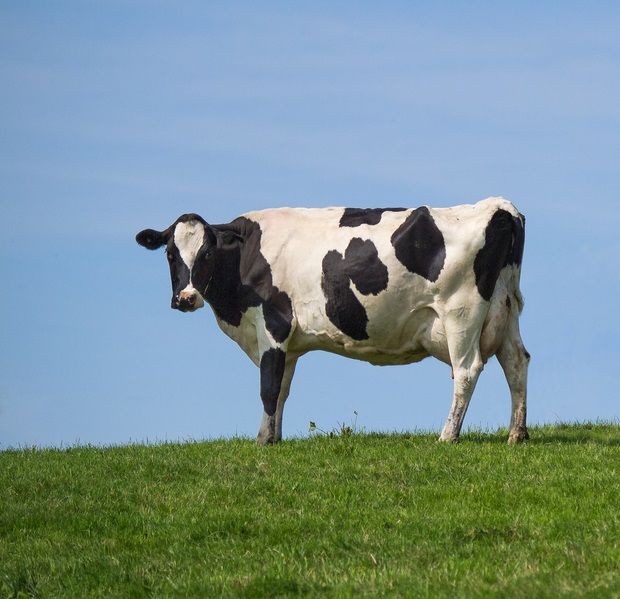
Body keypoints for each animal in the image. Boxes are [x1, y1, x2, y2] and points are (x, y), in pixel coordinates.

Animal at [136, 198, 528, 446]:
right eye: (170, 254)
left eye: (206, 253)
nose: (186, 298)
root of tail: (500, 207)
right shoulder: (289, 344)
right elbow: (282, 388)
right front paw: (275, 436)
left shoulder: (274, 324)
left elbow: (267, 386)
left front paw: (262, 441)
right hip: (506, 309)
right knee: (517, 362)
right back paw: (517, 434)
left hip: (461, 311)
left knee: (466, 370)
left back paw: (447, 436)